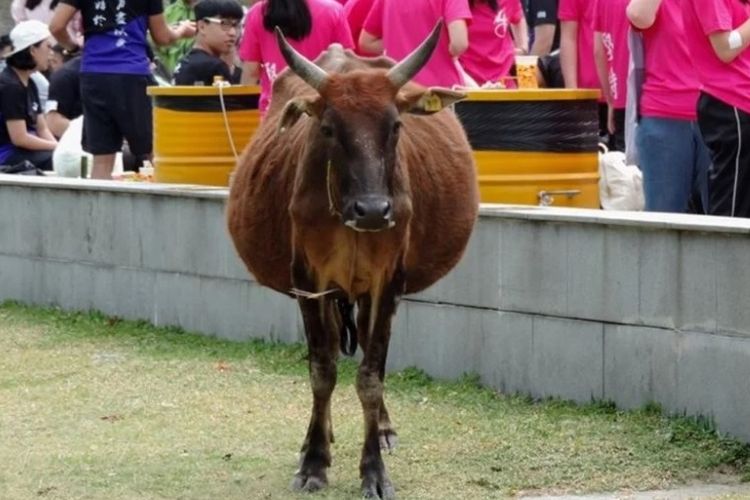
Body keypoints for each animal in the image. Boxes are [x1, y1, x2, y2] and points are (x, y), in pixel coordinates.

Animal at [226, 22, 478, 500]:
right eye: (327, 127)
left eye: (395, 125)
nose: (374, 210)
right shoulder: (308, 280)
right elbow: (322, 370)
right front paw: (314, 460)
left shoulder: (388, 282)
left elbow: (370, 376)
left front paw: (374, 469)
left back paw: (381, 427)